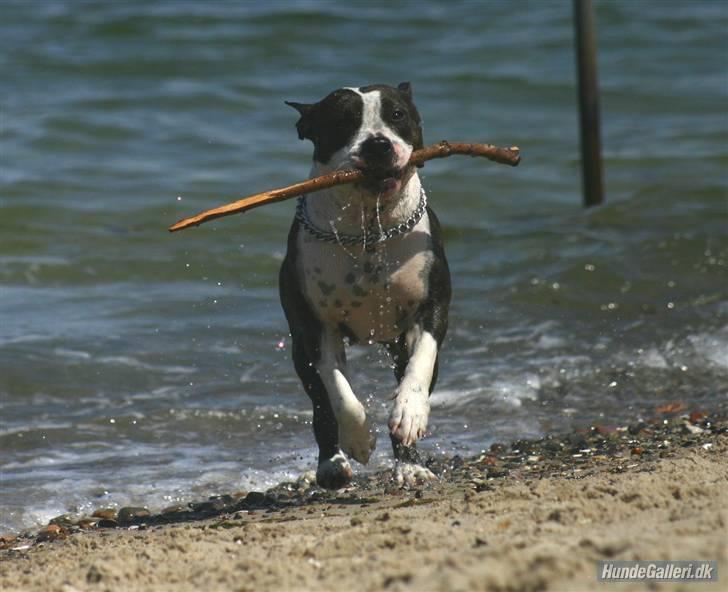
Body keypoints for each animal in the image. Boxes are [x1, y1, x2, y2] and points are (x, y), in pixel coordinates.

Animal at [278, 83, 450, 490]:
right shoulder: (316, 328)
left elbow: (420, 365)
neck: (369, 229)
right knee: (321, 405)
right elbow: (339, 392)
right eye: (343, 120)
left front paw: (410, 413)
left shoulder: (432, 308)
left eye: (397, 115)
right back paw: (332, 463)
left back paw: (410, 464)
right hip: (299, 353)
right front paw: (357, 437)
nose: (377, 145)